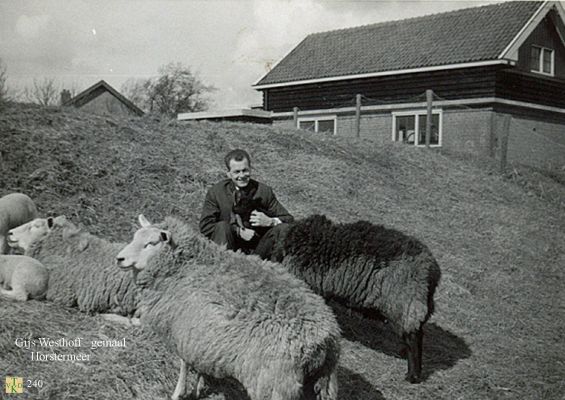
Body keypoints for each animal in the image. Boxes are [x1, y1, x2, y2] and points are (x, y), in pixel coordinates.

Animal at [114, 216, 340, 400]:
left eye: (149, 244)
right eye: (134, 237)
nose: (119, 259)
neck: (185, 267)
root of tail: (328, 336)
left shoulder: (185, 327)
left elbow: (184, 365)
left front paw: (179, 393)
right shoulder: (203, 333)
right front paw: (198, 388)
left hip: (275, 382)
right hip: (316, 383)